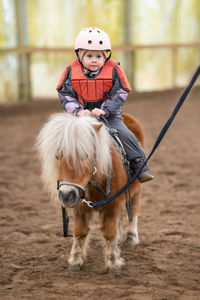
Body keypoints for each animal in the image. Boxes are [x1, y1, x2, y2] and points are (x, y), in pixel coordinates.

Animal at [36, 112, 144, 272]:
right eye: (57, 156)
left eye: (84, 155)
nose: (66, 195)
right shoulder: (80, 207)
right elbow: (80, 232)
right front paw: (75, 261)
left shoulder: (112, 204)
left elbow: (109, 232)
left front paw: (113, 263)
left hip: (135, 190)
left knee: (134, 209)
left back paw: (131, 237)